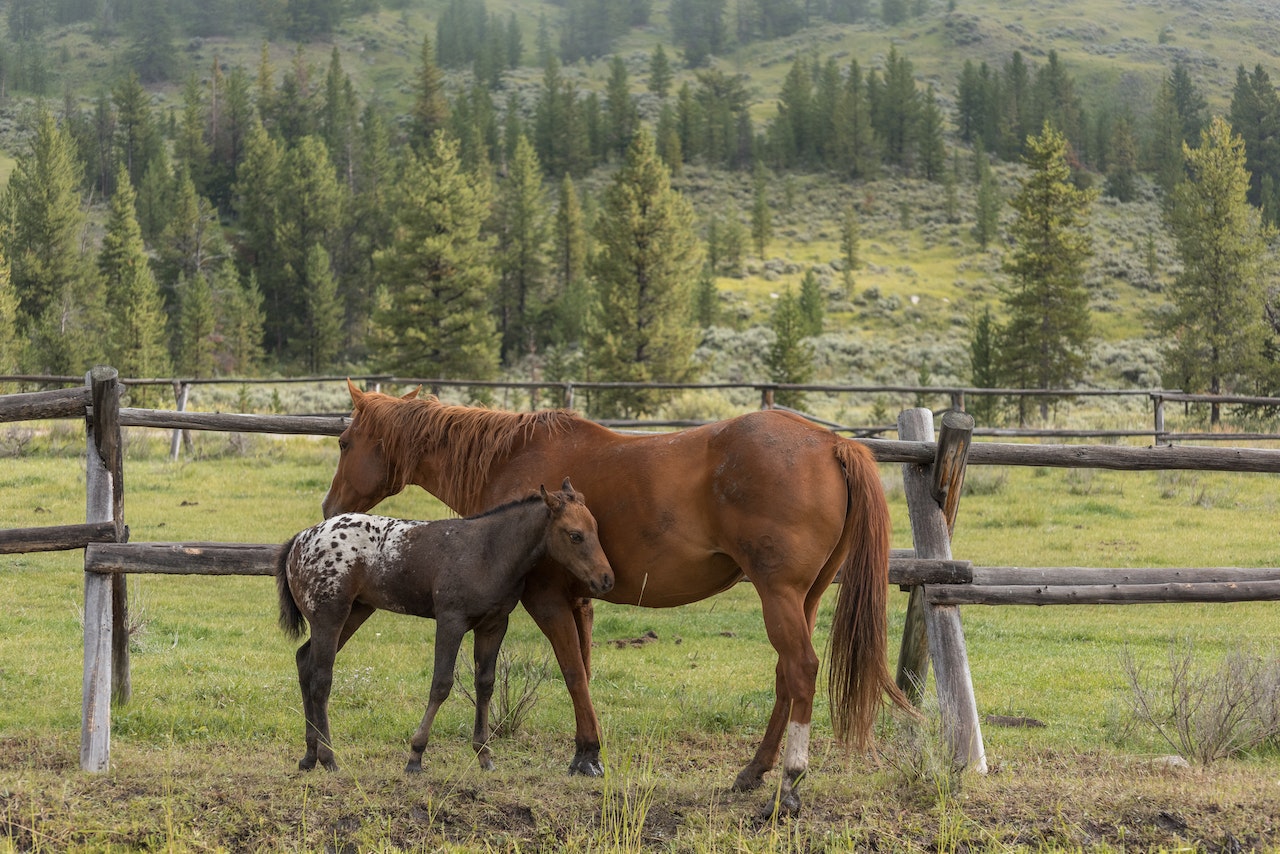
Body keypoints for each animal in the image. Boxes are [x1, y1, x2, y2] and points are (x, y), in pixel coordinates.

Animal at [273, 478, 609, 778]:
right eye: (575, 535)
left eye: (596, 529)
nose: (606, 578)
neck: (488, 551)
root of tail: (299, 540)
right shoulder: (451, 620)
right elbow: (441, 683)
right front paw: (415, 756)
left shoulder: (494, 624)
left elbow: (485, 684)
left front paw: (484, 755)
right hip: (330, 616)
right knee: (321, 678)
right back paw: (328, 758)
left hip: (355, 612)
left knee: (304, 661)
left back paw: (309, 756)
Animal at [322, 381, 921, 814]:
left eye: (345, 443)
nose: (330, 509)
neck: (512, 460)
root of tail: (832, 443)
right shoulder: (580, 600)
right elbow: (585, 668)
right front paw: (587, 749)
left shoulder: (545, 599)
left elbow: (571, 671)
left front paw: (587, 756)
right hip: (804, 598)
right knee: (785, 677)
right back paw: (752, 772)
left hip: (779, 596)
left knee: (800, 670)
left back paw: (790, 783)